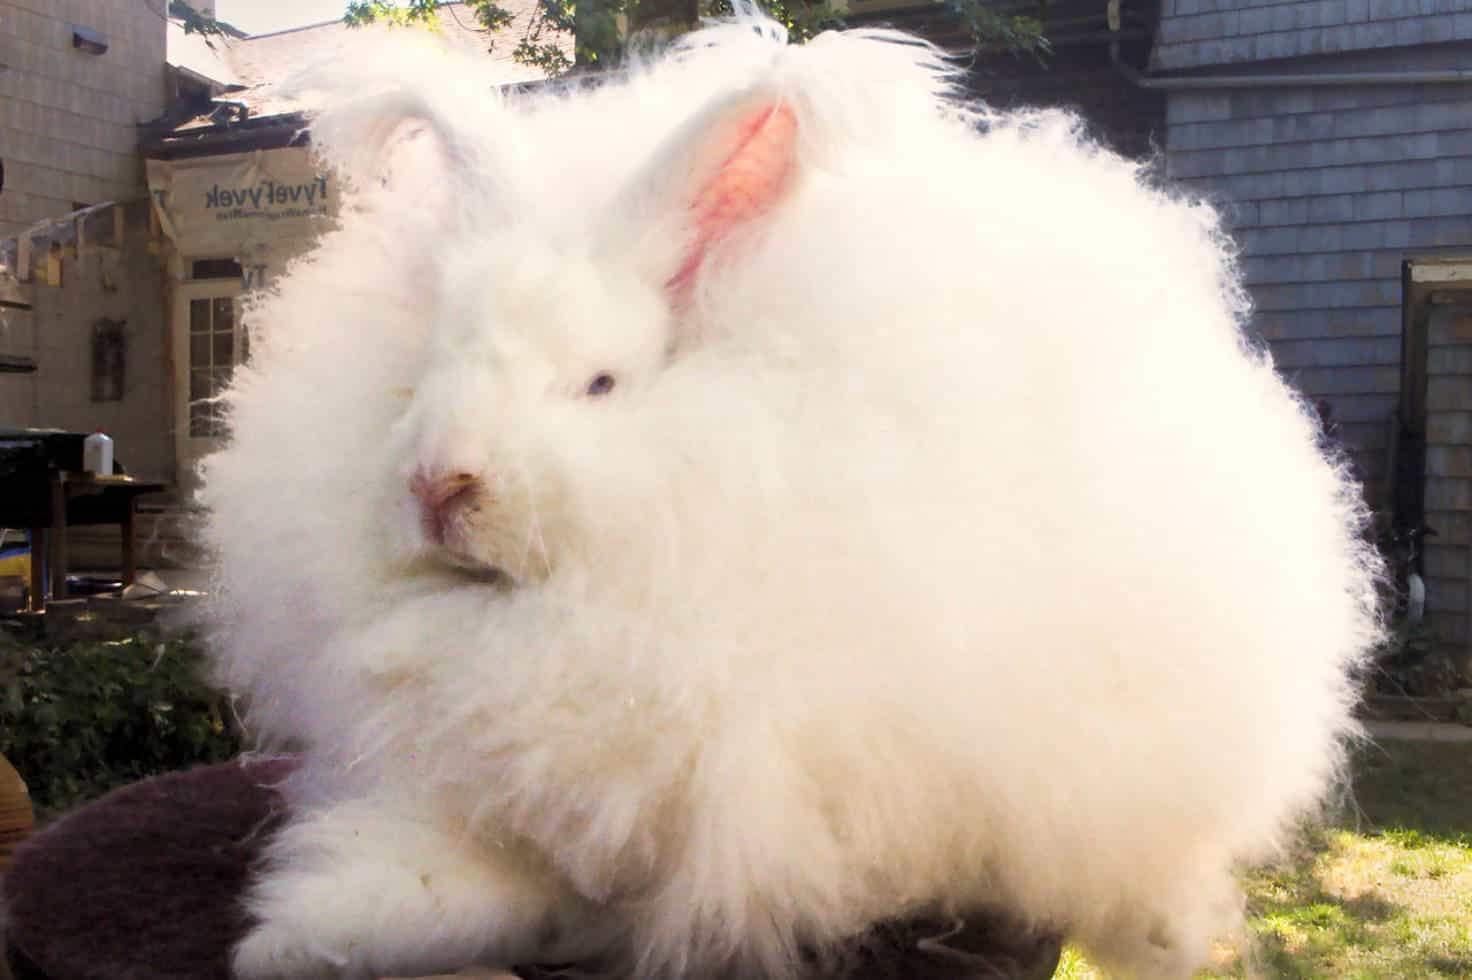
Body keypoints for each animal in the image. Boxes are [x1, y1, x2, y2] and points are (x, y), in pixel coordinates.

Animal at [201, 9, 1383, 977]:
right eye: (428, 367)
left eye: (599, 384)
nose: (440, 482)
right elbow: (452, 873)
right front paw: (305, 934)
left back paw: (1161, 926)